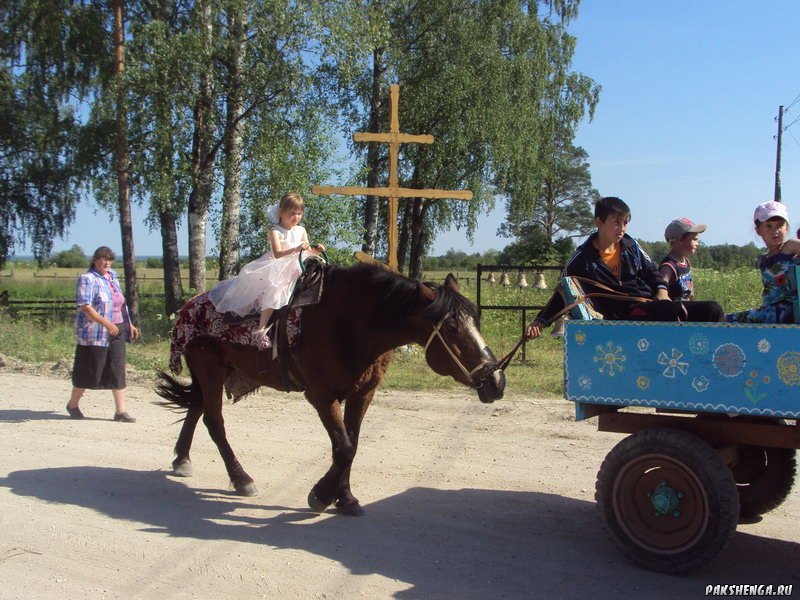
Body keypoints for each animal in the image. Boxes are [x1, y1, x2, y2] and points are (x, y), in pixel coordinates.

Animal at [156, 262, 506, 516]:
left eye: (476, 320)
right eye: (452, 327)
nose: (495, 380)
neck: (350, 324)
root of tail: (190, 305)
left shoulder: (362, 394)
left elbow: (353, 443)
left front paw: (346, 498)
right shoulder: (322, 396)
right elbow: (344, 447)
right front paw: (321, 495)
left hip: (212, 373)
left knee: (196, 408)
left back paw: (182, 460)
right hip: (210, 371)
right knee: (214, 421)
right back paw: (242, 479)